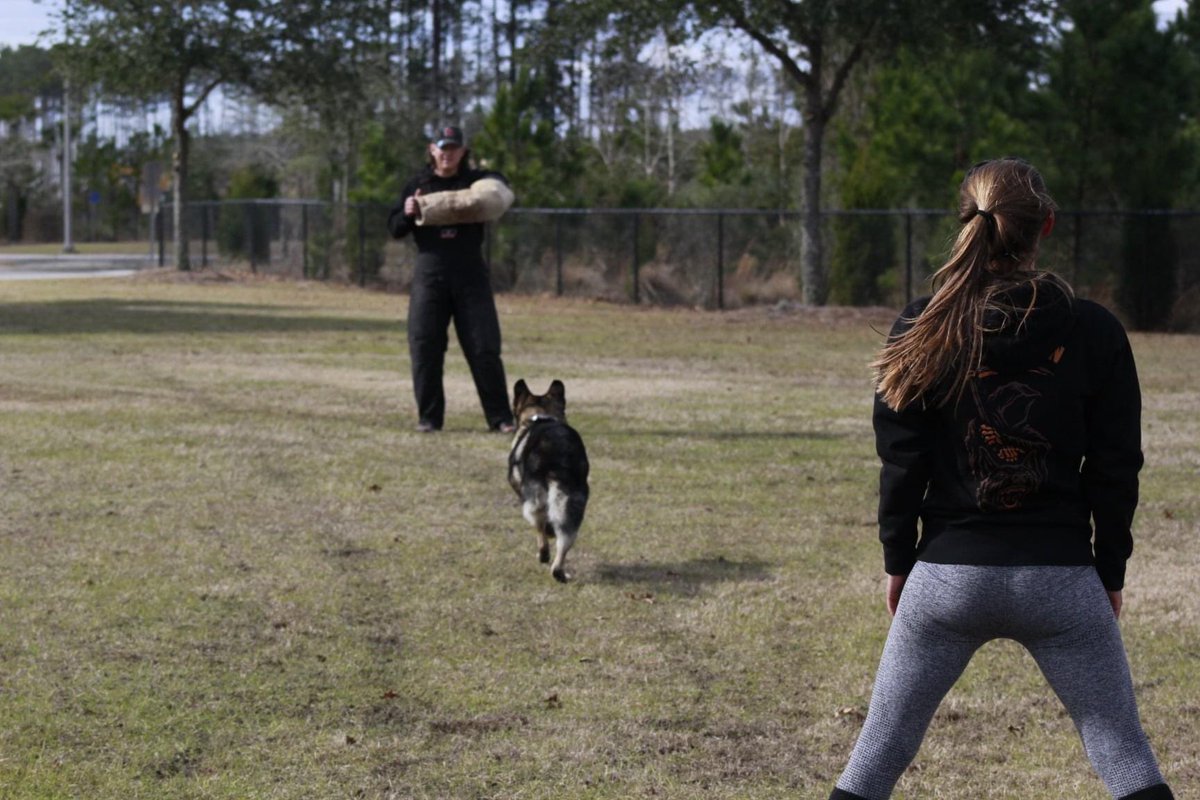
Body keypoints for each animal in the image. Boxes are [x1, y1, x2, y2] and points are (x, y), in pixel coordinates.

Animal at [506, 381, 590, 582]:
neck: (541, 415)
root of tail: (559, 451)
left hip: (535, 499)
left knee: (540, 525)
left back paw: (544, 555)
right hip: (574, 501)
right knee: (566, 537)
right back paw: (559, 571)